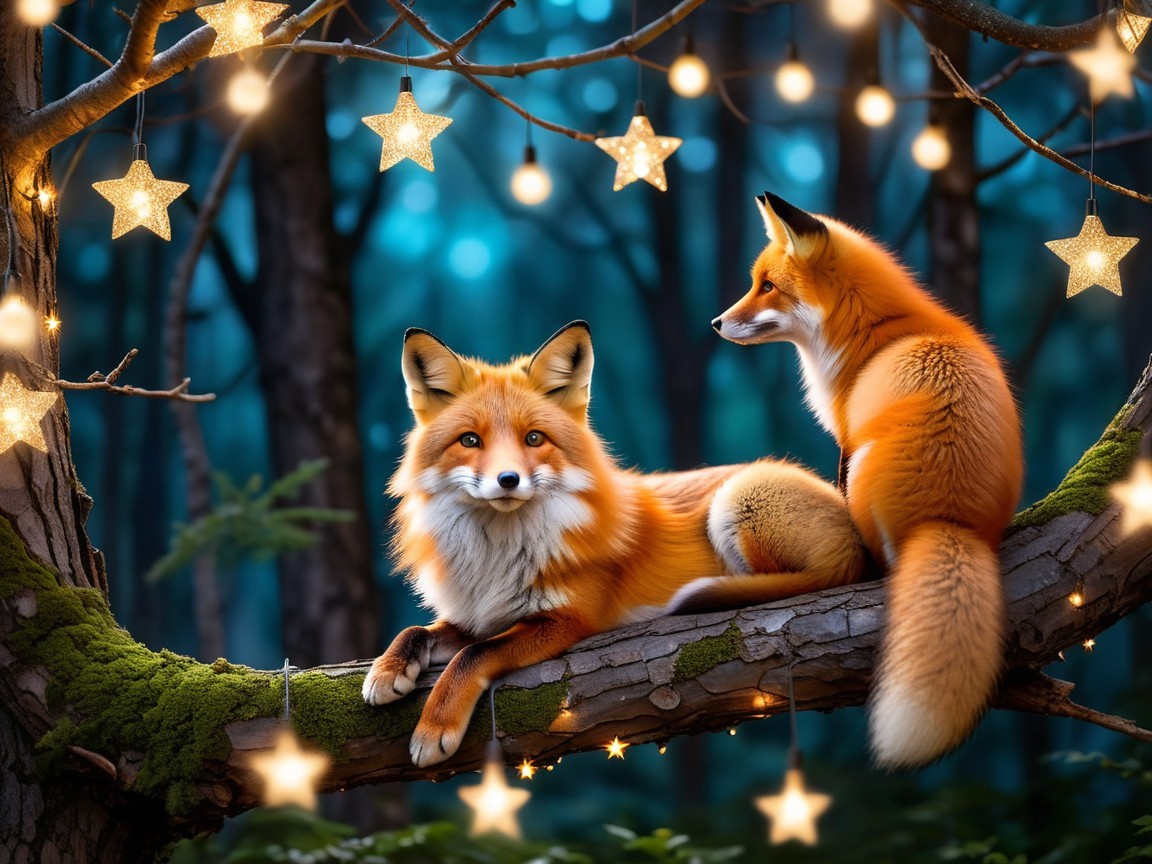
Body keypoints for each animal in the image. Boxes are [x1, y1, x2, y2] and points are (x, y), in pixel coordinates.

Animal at [362, 321, 867, 767]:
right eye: (470, 440)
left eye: (533, 438)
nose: (508, 480)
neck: (497, 556)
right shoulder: (480, 614)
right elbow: (417, 632)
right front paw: (388, 670)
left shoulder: (564, 621)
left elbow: (472, 656)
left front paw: (435, 727)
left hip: (737, 500)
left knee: (801, 582)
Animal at [711, 192, 1023, 769]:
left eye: (767, 286)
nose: (716, 322)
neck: (873, 332)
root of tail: (947, 522)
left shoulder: (847, 439)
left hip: (862, 471)